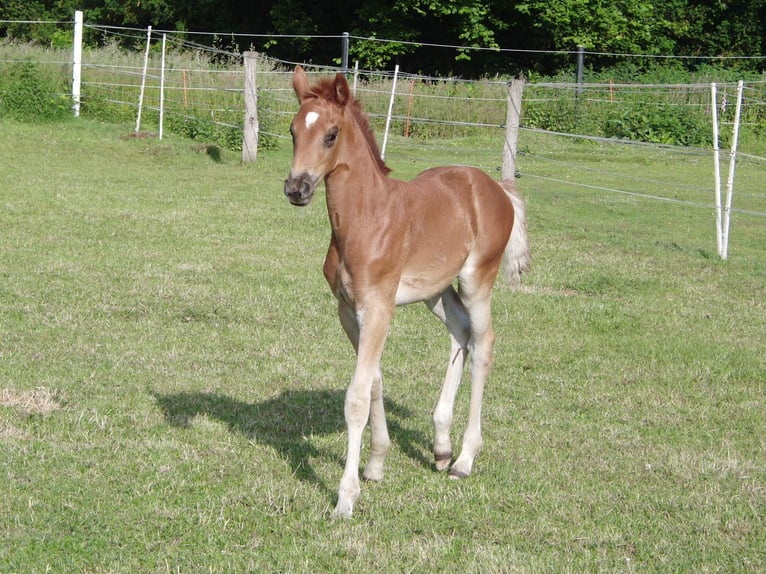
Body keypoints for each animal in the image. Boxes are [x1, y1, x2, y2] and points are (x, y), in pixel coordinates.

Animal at [284, 65, 530, 518]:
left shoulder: (378, 308)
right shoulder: (349, 311)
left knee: (483, 342)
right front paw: (376, 464)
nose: (297, 188)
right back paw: (441, 446)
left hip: (476, 280)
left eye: (330, 134)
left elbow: (356, 398)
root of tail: (496, 188)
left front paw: (345, 498)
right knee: (461, 332)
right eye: (293, 131)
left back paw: (465, 459)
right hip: (437, 290)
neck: (366, 218)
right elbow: (374, 383)